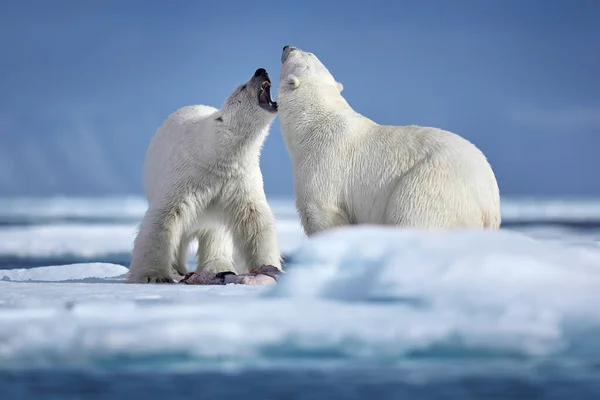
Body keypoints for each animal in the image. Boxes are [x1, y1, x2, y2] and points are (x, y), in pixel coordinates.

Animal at [126, 67, 282, 282]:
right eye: (243, 87)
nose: (261, 70)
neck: (217, 153)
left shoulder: (239, 179)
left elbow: (254, 220)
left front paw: (268, 267)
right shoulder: (189, 174)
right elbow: (165, 217)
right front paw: (154, 275)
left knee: (215, 232)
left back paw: (217, 266)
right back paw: (178, 268)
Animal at [276, 46, 502, 238]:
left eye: (303, 53)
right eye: (310, 53)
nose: (287, 46)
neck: (314, 122)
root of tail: (490, 202)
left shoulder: (323, 163)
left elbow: (321, 214)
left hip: (431, 185)